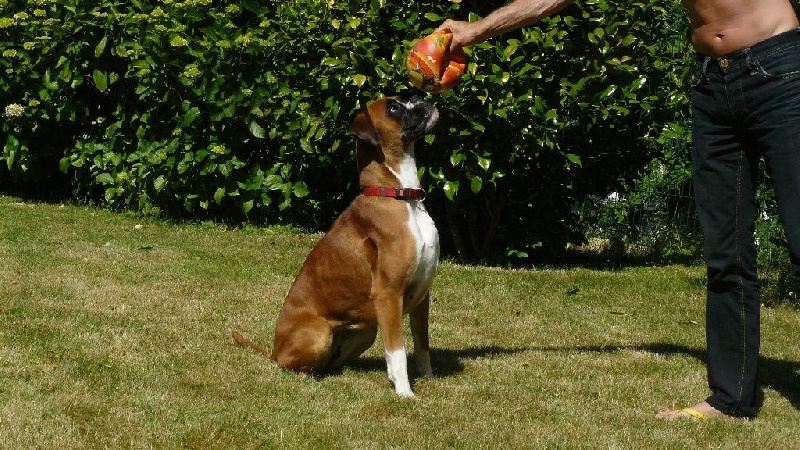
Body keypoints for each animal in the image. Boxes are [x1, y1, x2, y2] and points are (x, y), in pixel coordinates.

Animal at [231, 93, 440, 396]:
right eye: (393, 107)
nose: (418, 96)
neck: (401, 195)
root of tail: (273, 351)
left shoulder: (422, 294)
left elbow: (422, 343)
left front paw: (427, 377)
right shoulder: (388, 295)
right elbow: (398, 351)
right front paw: (404, 393)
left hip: (366, 331)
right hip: (320, 332)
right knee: (293, 366)